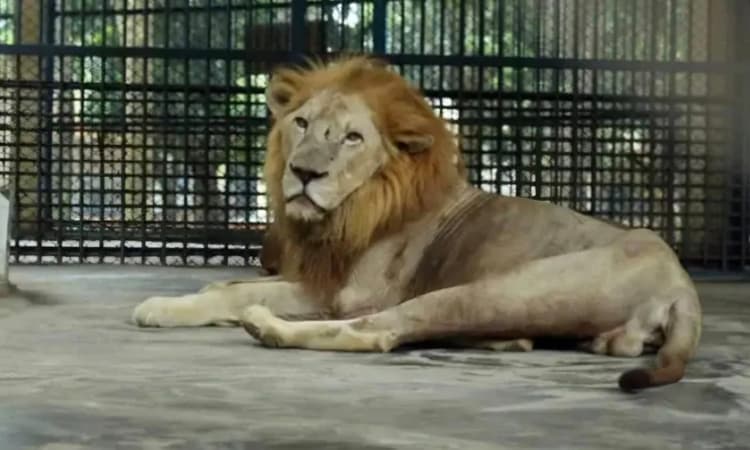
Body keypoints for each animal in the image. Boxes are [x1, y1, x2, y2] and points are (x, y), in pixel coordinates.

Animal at [132, 56, 702, 392]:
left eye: (352, 138)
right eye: (301, 124)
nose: (305, 173)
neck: (352, 209)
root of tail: (681, 285)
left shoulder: (347, 294)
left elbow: (236, 293)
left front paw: (161, 307)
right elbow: (224, 284)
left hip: (493, 289)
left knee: (380, 331)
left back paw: (266, 326)